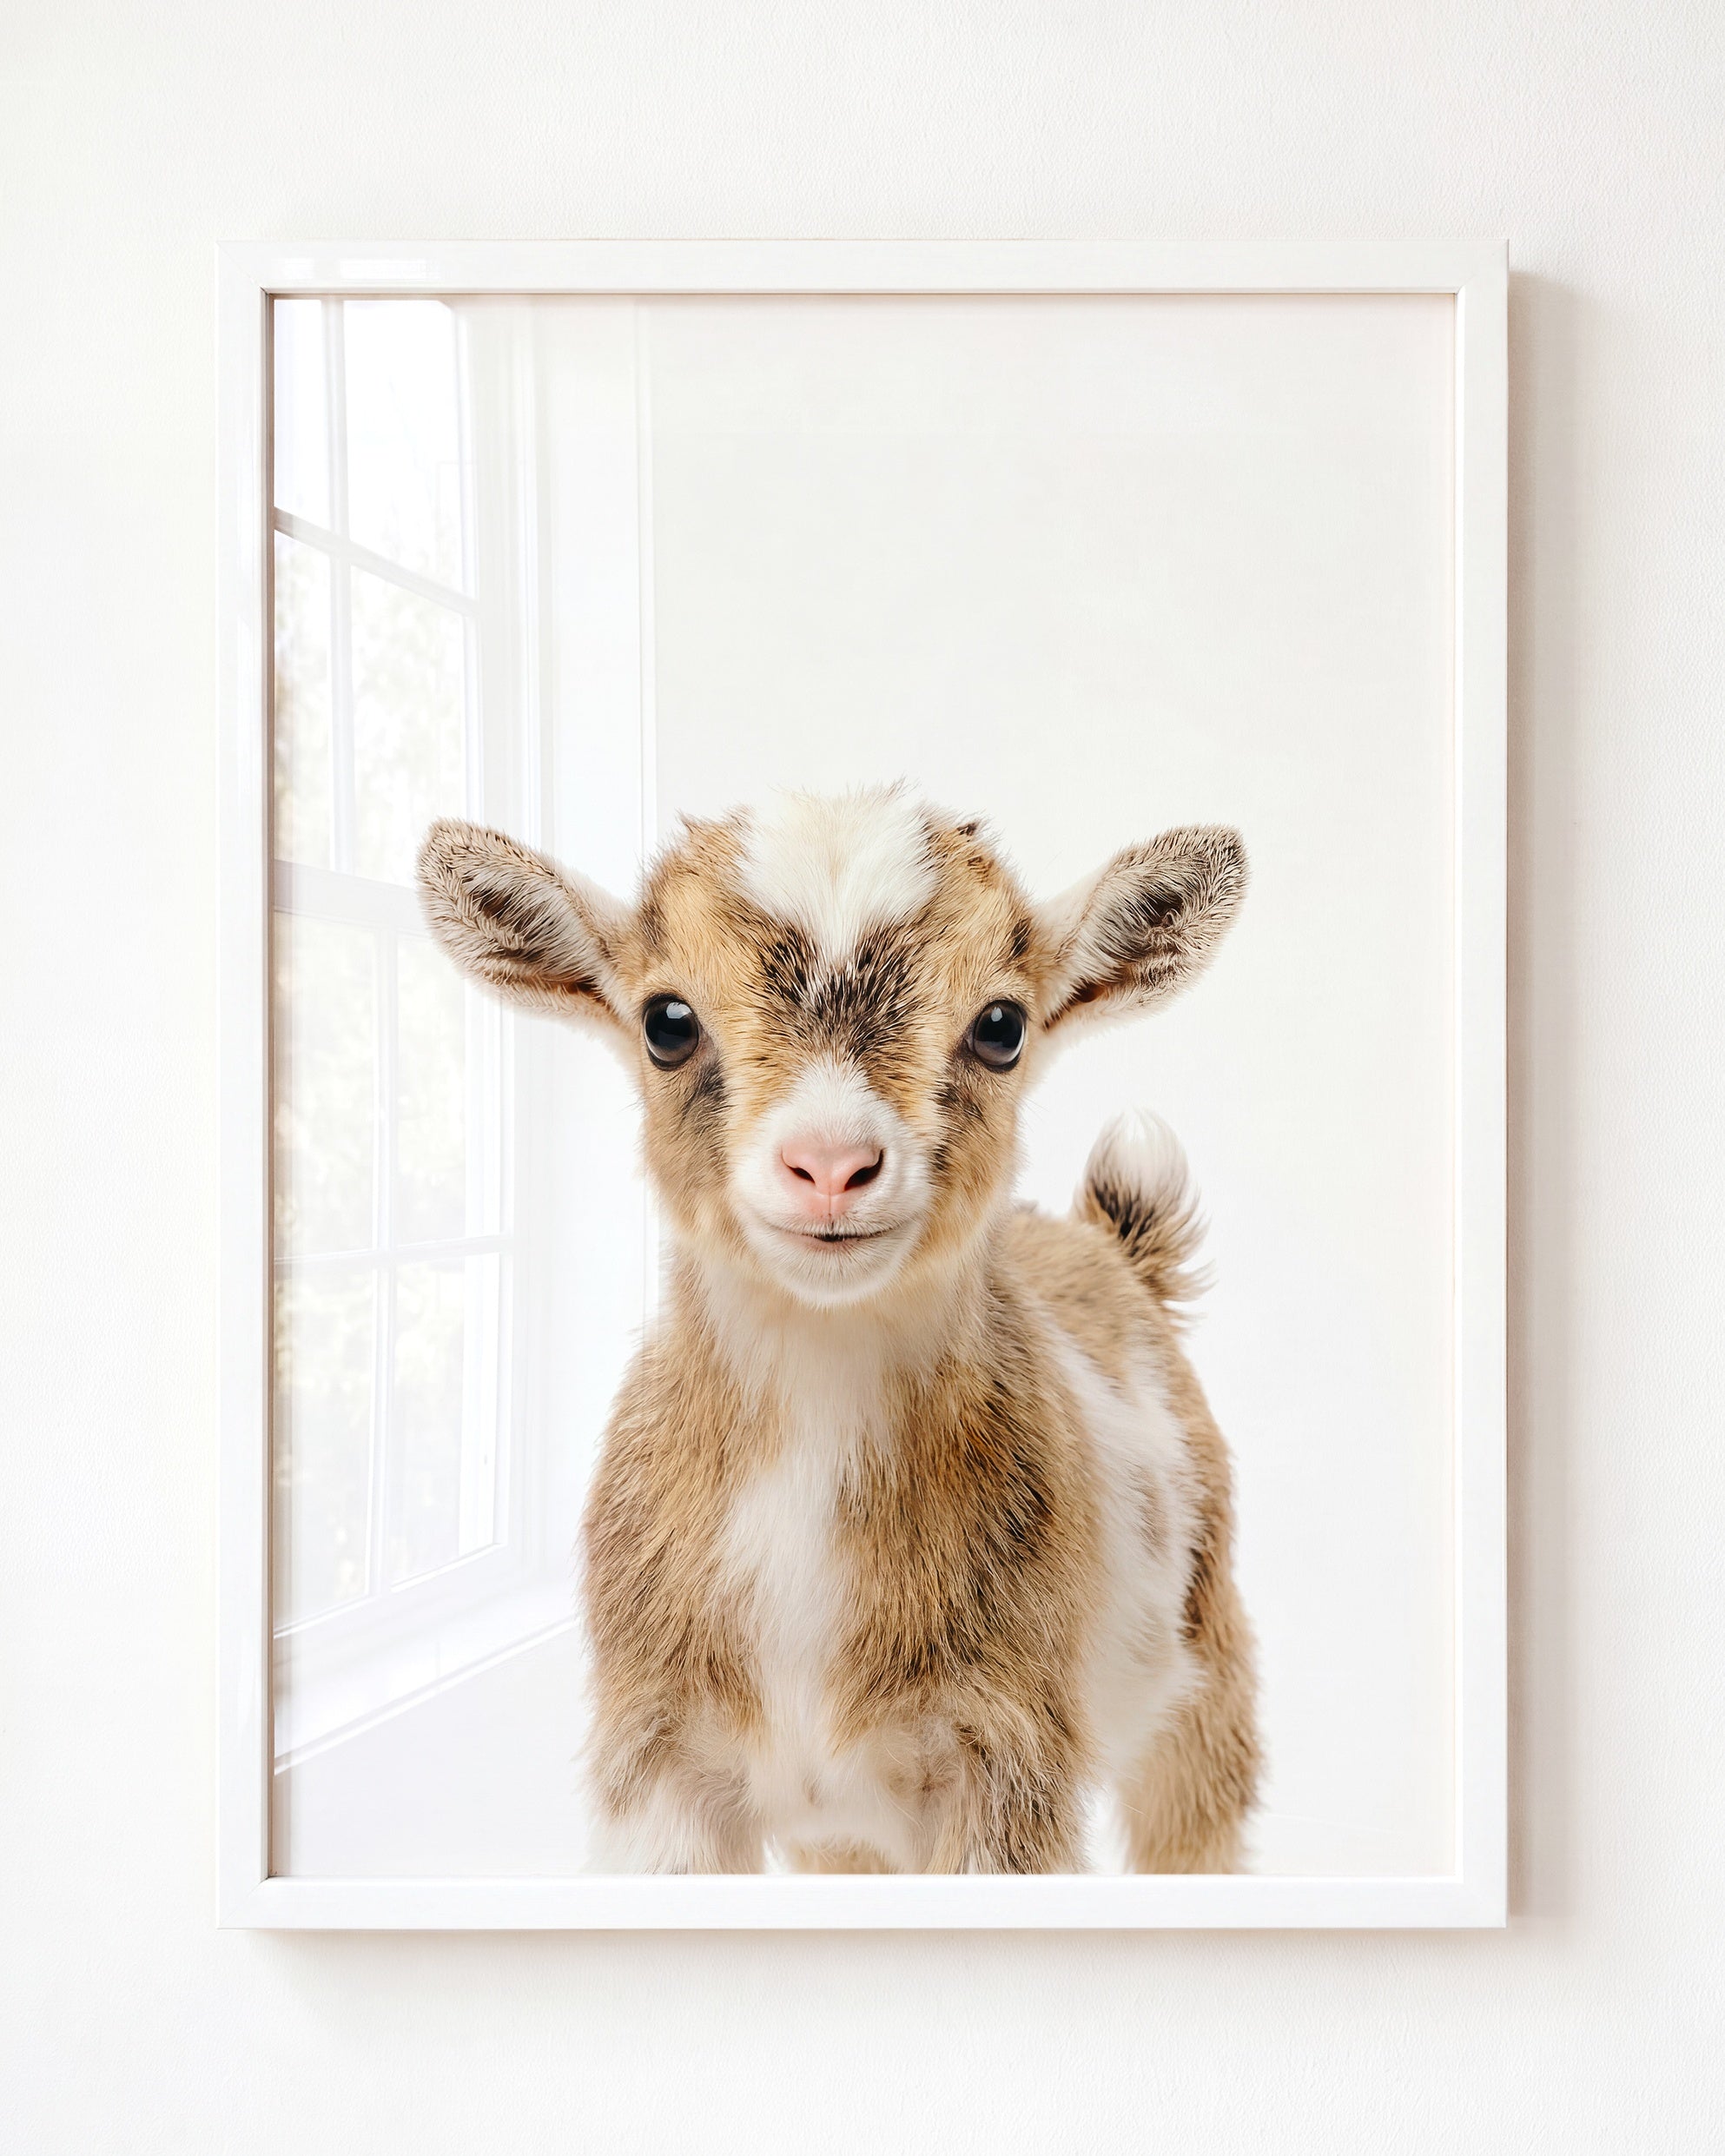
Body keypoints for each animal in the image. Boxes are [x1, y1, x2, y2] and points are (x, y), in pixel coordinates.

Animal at [418, 786, 1259, 1873]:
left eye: (1002, 1025)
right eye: (666, 1021)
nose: (829, 1164)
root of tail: (1114, 1249)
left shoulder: (1008, 1759)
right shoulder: (658, 1764)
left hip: (1207, 1673)